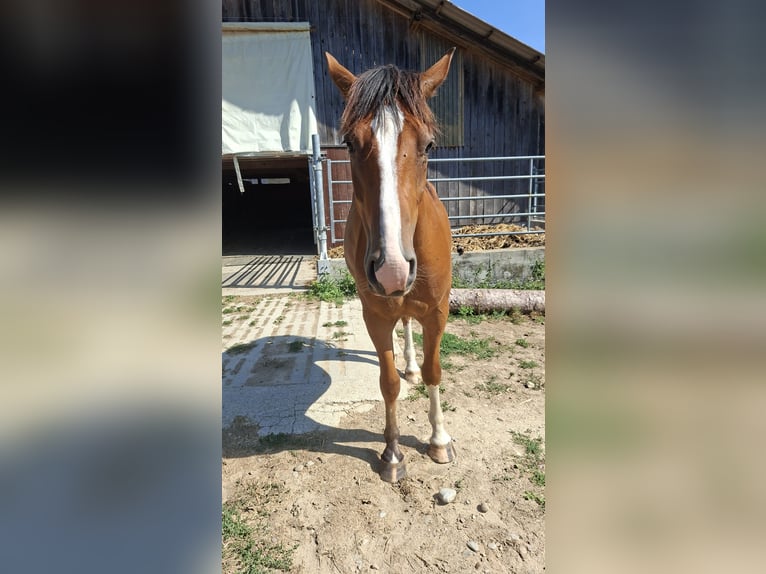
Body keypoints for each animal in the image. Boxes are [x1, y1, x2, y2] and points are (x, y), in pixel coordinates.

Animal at [326, 49, 457, 482]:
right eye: (349, 143)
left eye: (428, 144)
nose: (391, 270)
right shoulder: (375, 315)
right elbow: (387, 383)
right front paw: (393, 453)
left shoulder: (437, 311)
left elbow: (435, 371)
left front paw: (439, 440)